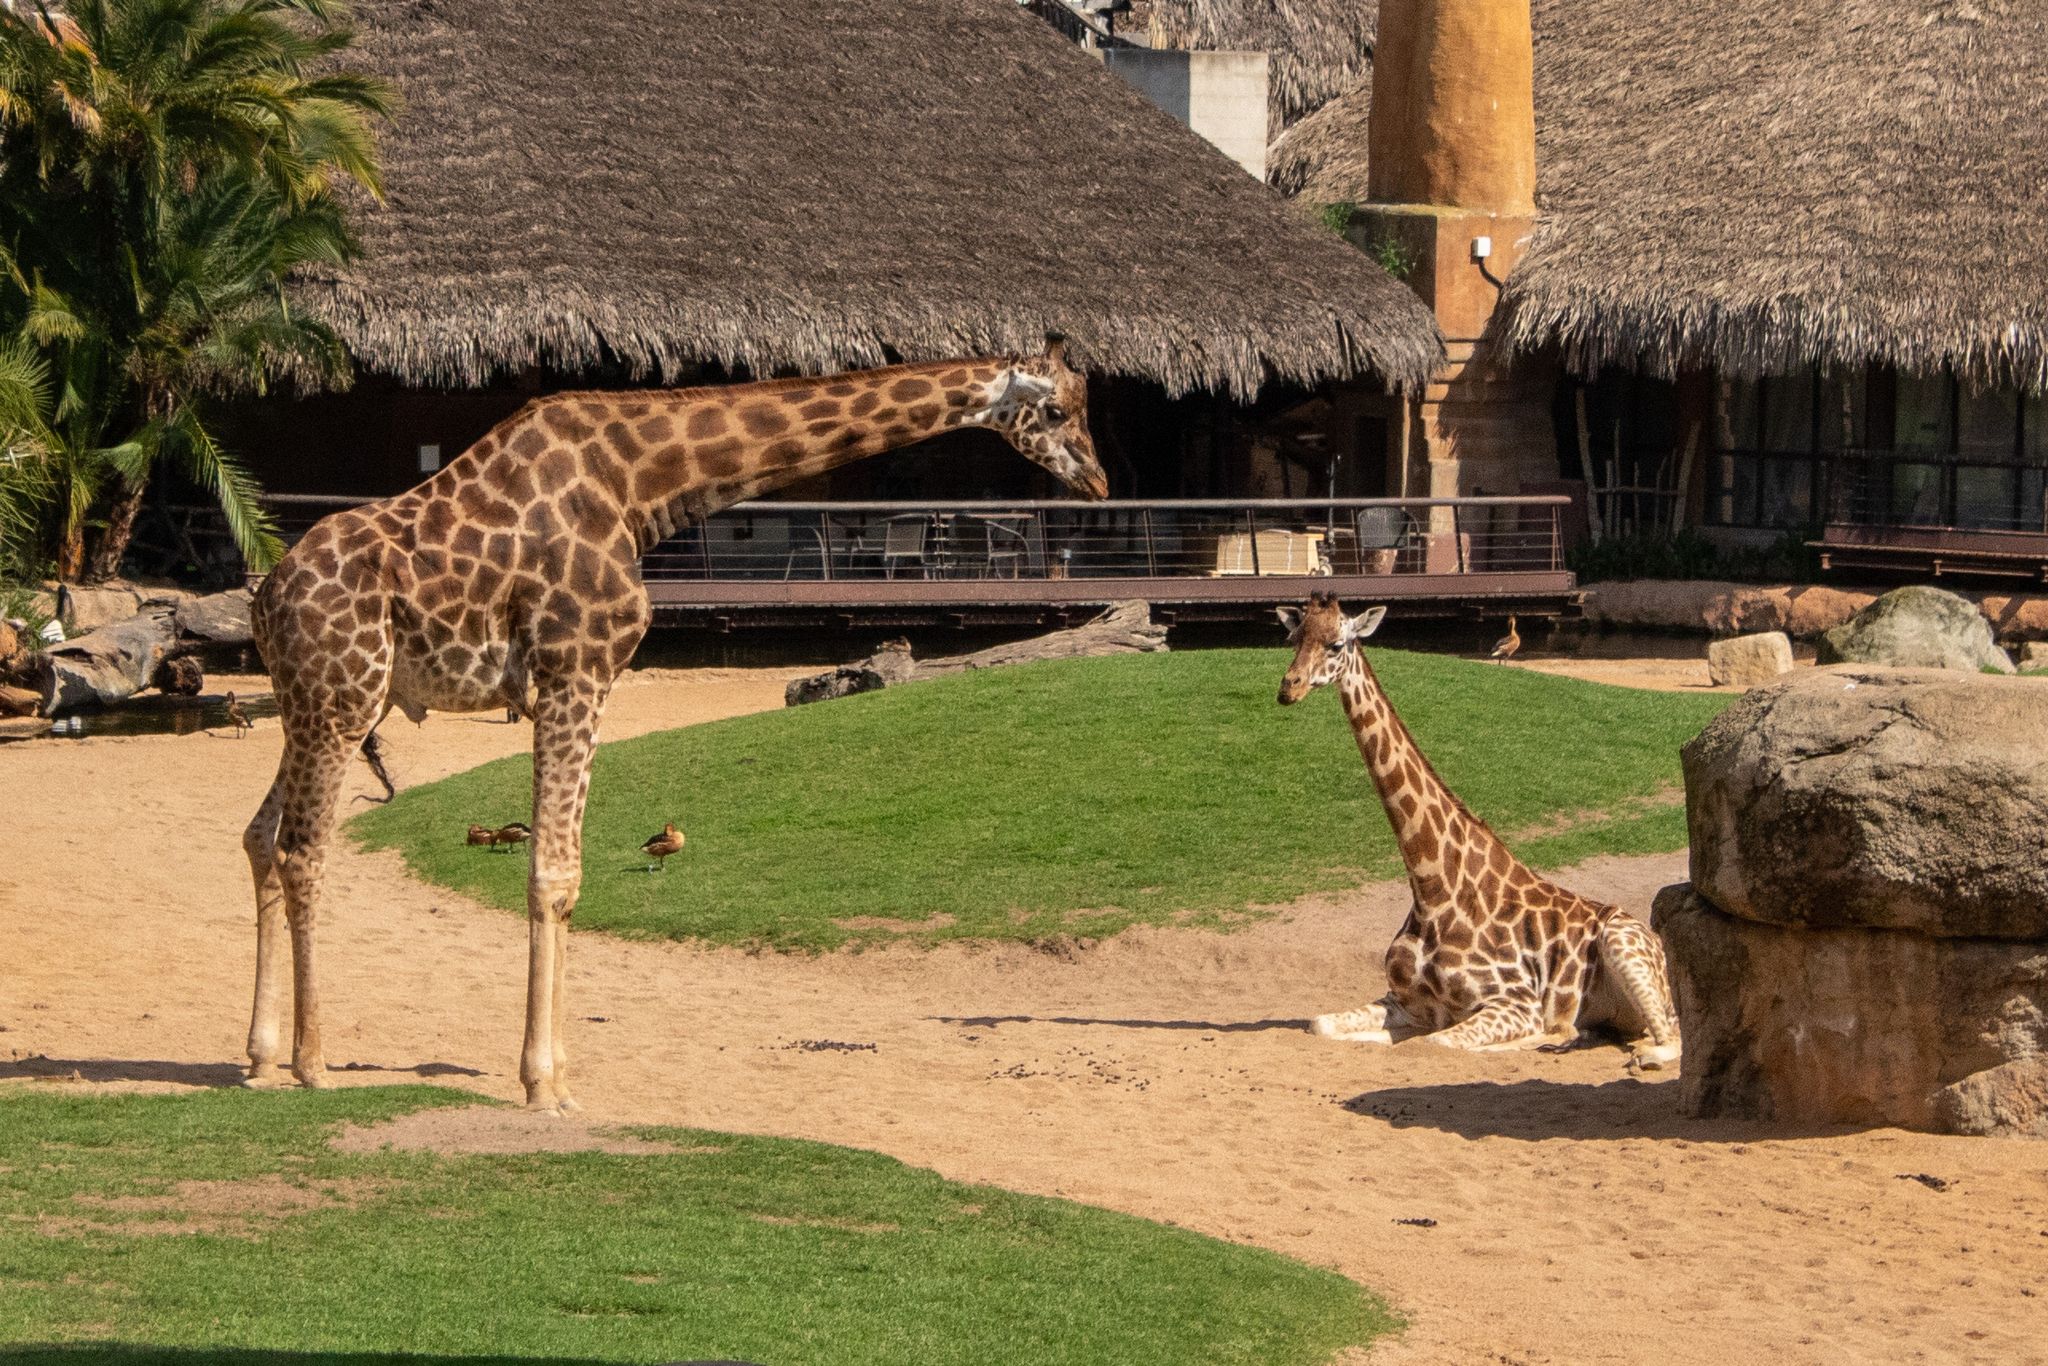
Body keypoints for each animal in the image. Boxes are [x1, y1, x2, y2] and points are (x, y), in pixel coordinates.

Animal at [243, 340, 1107, 1112]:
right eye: (1055, 410)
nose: (1098, 482)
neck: (638, 486)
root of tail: (263, 599)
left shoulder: (576, 679)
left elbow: (561, 873)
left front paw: (558, 1074)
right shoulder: (577, 670)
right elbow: (554, 874)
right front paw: (544, 1085)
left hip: (310, 704)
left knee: (258, 835)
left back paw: (258, 1057)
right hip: (343, 698)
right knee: (302, 850)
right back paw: (311, 1063)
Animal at [1275, 593, 1681, 1070]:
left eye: (1337, 644)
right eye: (1295, 637)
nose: (1289, 688)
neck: (1431, 886)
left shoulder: (1515, 1003)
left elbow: (1436, 1042)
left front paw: (1547, 1034)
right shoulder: (1406, 1001)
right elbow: (1320, 1024)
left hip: (1624, 945)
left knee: (1666, 1040)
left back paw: (1574, 1038)